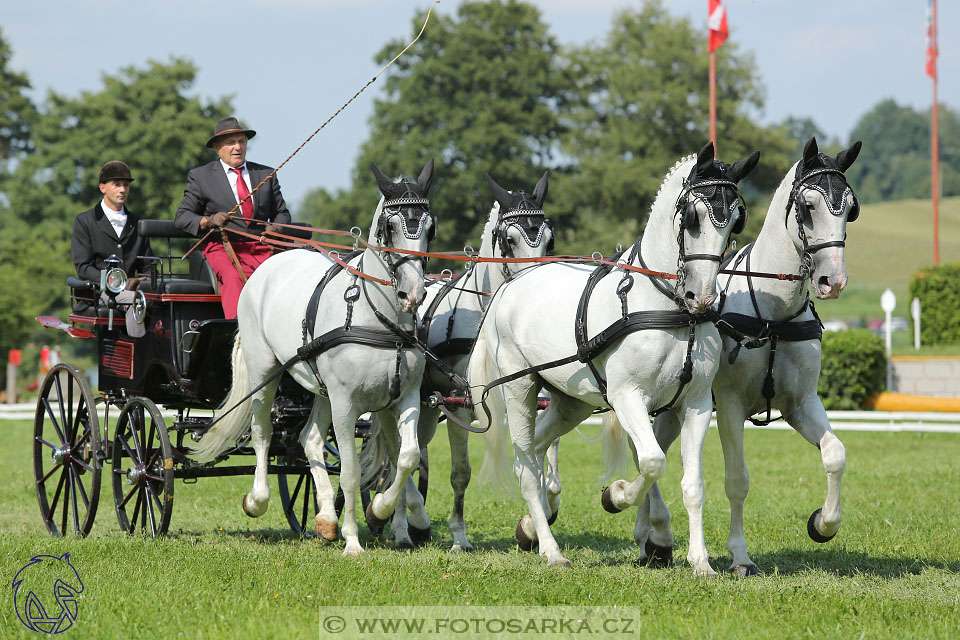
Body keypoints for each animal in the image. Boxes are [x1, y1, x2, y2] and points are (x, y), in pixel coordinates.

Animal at [191, 159, 438, 556]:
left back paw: (325, 519)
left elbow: (406, 456)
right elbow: (351, 471)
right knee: (262, 433)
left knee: (309, 439)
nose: (412, 294)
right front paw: (353, 541)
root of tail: (265, 268)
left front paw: (381, 509)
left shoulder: (405, 398)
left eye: (431, 227)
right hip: (266, 373)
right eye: (389, 227)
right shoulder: (346, 404)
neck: (377, 319)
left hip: (321, 389)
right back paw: (258, 499)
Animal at [376, 171, 552, 552]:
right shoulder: (460, 405)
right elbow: (460, 473)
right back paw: (400, 525)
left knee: (411, 449)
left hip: (427, 409)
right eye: (509, 240)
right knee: (399, 454)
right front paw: (458, 536)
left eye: (549, 238)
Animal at [470, 144, 756, 568]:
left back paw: (533, 528)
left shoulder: (697, 403)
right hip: (520, 388)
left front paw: (700, 561)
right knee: (525, 467)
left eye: (736, 220)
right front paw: (616, 495)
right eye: (692, 216)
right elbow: (652, 462)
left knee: (537, 449)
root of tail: (512, 284)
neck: (671, 310)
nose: (702, 296)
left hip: (570, 403)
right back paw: (552, 551)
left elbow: (693, 484)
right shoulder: (627, 398)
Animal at [600, 136, 864, 576]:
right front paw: (740, 556)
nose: (833, 281)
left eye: (850, 209)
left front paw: (823, 524)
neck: (774, 316)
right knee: (646, 452)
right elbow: (737, 480)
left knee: (653, 449)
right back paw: (650, 531)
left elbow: (836, 454)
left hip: (674, 406)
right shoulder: (729, 404)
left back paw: (650, 537)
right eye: (808, 206)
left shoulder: (801, 403)